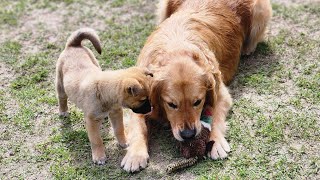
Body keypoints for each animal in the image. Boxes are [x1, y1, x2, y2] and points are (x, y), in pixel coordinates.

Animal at [55, 27, 153, 165]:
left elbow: (119, 129)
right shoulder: (91, 121)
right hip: (60, 84)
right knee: (62, 98)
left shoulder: (116, 113)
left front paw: (123, 142)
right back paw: (63, 111)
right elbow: (96, 140)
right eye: (143, 100)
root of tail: (73, 45)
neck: (102, 91)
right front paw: (99, 156)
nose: (151, 109)